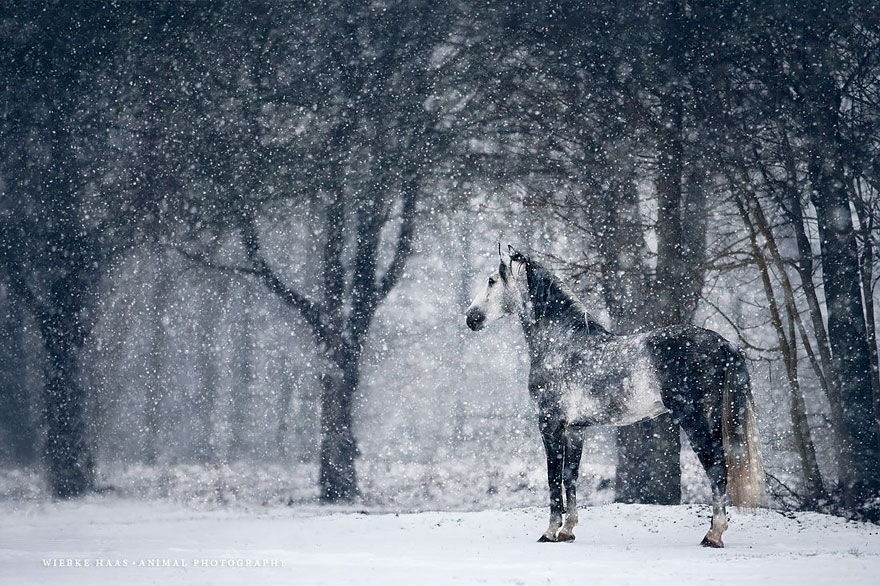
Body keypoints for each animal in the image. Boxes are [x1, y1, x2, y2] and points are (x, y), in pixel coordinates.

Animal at [465, 245, 765, 547]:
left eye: (491, 281)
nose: (470, 317)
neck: (560, 343)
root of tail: (724, 345)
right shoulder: (575, 429)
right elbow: (570, 476)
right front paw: (567, 531)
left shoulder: (550, 424)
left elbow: (553, 477)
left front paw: (549, 532)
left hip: (696, 420)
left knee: (716, 469)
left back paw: (712, 535)